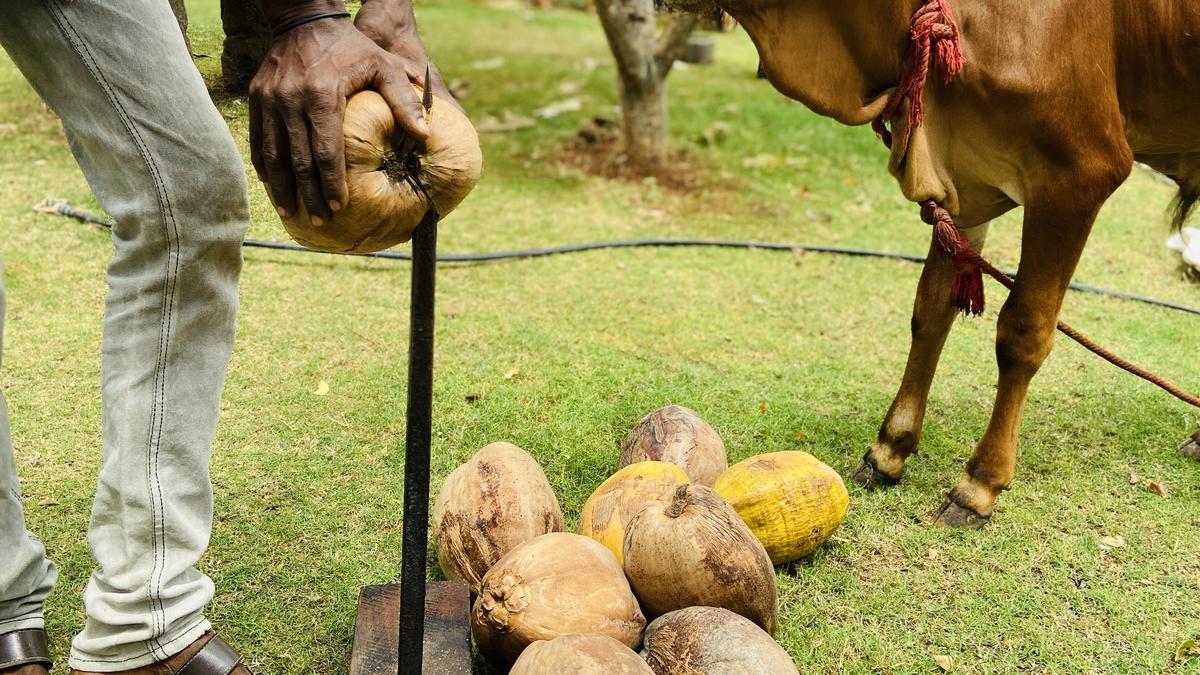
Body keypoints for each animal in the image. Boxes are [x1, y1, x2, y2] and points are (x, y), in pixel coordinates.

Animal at [672, 0, 1200, 526]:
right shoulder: (960, 178)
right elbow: (930, 312)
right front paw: (889, 449)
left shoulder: (1080, 172)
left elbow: (1022, 333)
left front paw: (979, 484)